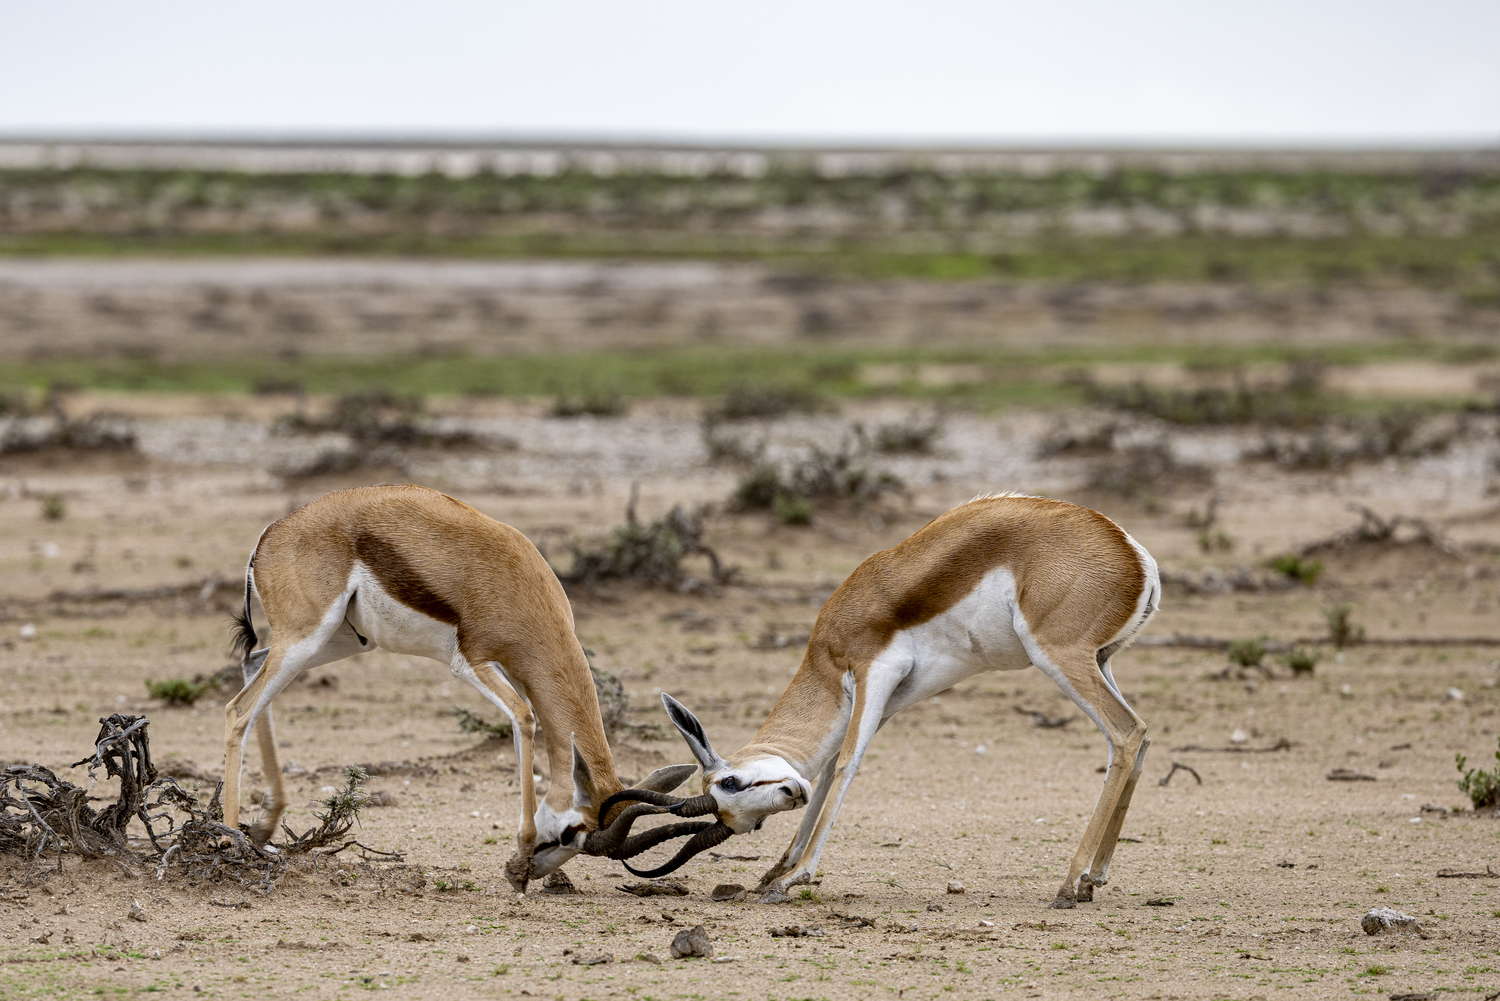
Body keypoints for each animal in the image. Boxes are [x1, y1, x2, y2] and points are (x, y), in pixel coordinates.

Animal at [222, 484, 702, 891]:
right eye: (570, 832)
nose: (530, 872)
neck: (516, 582)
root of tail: (270, 534)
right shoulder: (470, 661)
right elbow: (525, 718)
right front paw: (521, 865)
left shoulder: (512, 671)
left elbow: (521, 732)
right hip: (307, 638)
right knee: (237, 710)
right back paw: (230, 841)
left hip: (339, 640)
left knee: (252, 663)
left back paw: (264, 828)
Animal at [598, 493, 1160, 908]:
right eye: (749, 824)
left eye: (731, 783)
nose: (789, 793)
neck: (828, 648)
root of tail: (1135, 556)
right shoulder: (882, 704)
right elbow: (826, 774)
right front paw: (775, 872)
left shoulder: (873, 673)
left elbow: (846, 764)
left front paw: (795, 877)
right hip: (1101, 660)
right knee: (1140, 739)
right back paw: (1093, 879)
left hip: (1059, 657)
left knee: (1126, 733)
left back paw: (1069, 884)